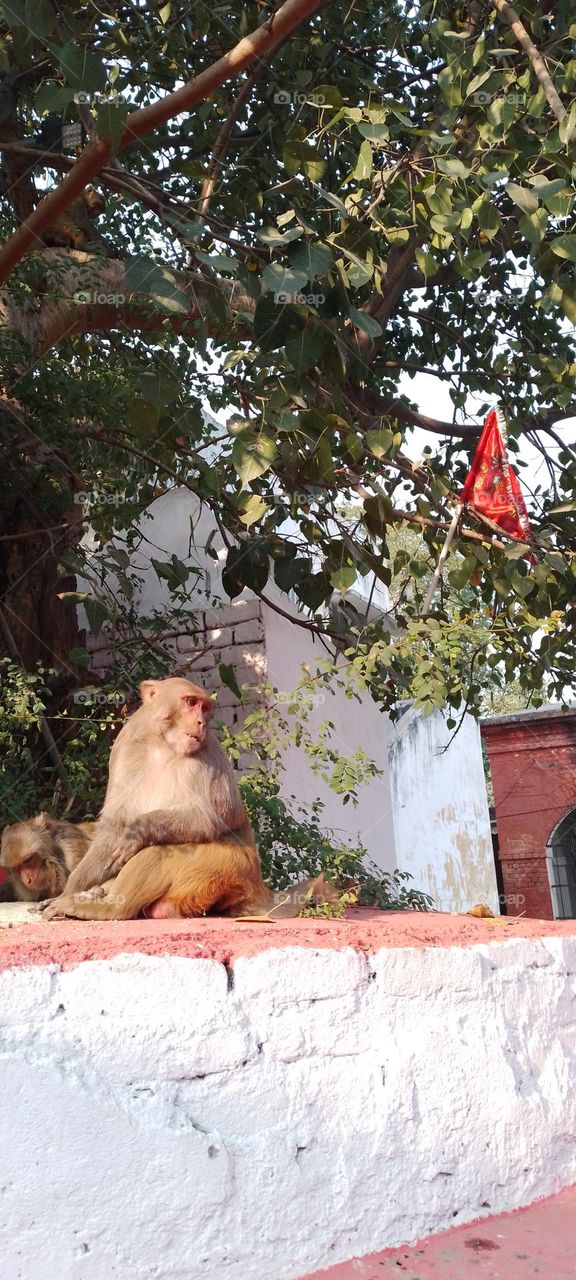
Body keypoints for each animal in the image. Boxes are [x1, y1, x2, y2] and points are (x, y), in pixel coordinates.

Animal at [42, 677, 269, 918]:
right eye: (191, 702)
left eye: (205, 708)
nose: (201, 723)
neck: (163, 743)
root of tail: (256, 889)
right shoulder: (125, 746)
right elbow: (115, 826)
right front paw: (71, 889)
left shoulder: (208, 753)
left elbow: (212, 819)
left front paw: (139, 829)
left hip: (227, 868)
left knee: (162, 849)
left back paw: (108, 908)